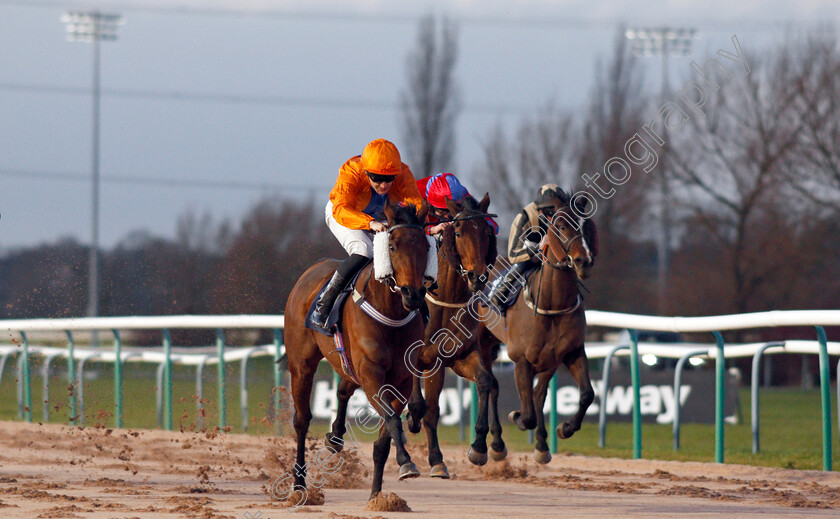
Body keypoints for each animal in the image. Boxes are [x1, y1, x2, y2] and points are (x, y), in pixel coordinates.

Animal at [406, 193, 506, 478]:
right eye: (458, 232)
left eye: (486, 232)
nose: (477, 276)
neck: (446, 302)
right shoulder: (426, 359)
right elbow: (425, 408)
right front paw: (435, 458)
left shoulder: (461, 356)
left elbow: (484, 382)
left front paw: (478, 447)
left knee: (492, 383)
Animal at [476, 191, 600, 464]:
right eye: (561, 225)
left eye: (587, 226)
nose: (584, 262)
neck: (551, 305)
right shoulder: (521, 359)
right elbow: (529, 413)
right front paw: (517, 416)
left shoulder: (567, 353)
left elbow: (585, 394)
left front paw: (564, 429)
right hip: (482, 342)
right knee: (490, 385)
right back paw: (491, 445)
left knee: (531, 393)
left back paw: (538, 445)